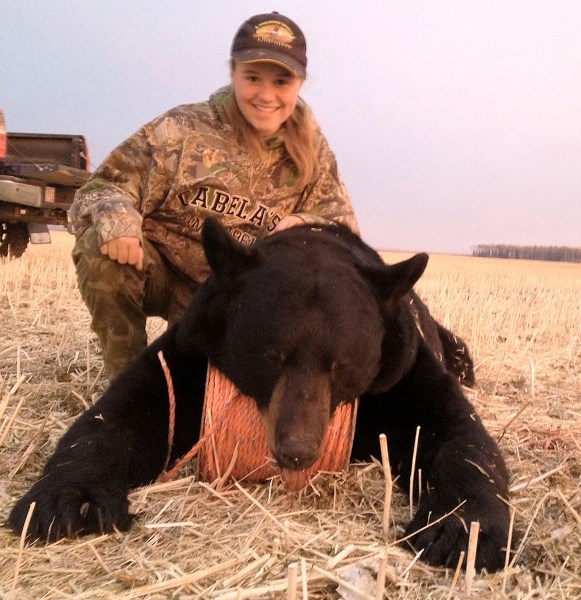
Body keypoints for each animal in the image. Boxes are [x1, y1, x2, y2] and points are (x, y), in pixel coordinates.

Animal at [7, 219, 508, 572]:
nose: (297, 450)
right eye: (272, 355)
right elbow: (121, 415)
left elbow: (458, 435)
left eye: (340, 364)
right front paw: (68, 501)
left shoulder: (399, 368)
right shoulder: (191, 352)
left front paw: (460, 532)